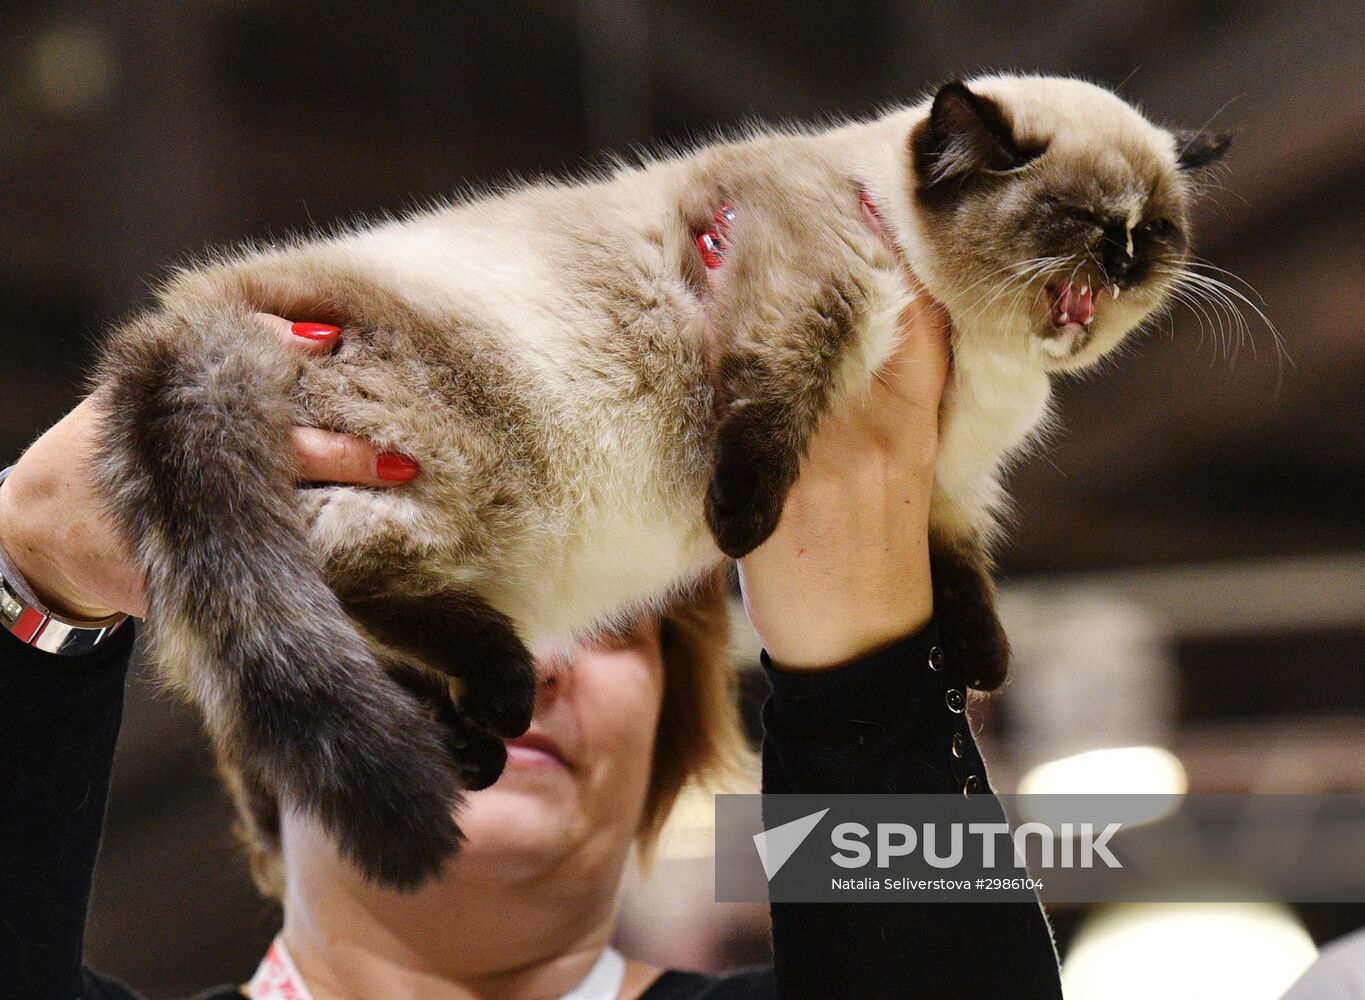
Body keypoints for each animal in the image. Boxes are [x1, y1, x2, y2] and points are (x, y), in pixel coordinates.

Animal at [90, 78, 1233, 889]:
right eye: (1077, 217)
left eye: (1156, 230)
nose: (1125, 258)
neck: (980, 354)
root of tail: (188, 313)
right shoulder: (811, 282)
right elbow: (772, 395)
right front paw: (740, 518)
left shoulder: (946, 483)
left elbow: (957, 572)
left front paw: (983, 658)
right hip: (446, 477)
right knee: (339, 580)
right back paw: (497, 690)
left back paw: (473, 741)